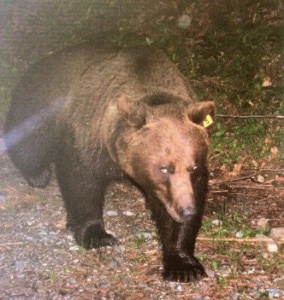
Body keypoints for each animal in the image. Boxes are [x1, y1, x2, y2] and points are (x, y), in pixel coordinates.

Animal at [4, 42, 214, 282]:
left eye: (193, 166)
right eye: (164, 168)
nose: (187, 210)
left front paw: (183, 265)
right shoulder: (89, 136)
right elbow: (81, 183)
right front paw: (97, 235)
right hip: (38, 104)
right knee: (30, 145)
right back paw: (37, 174)